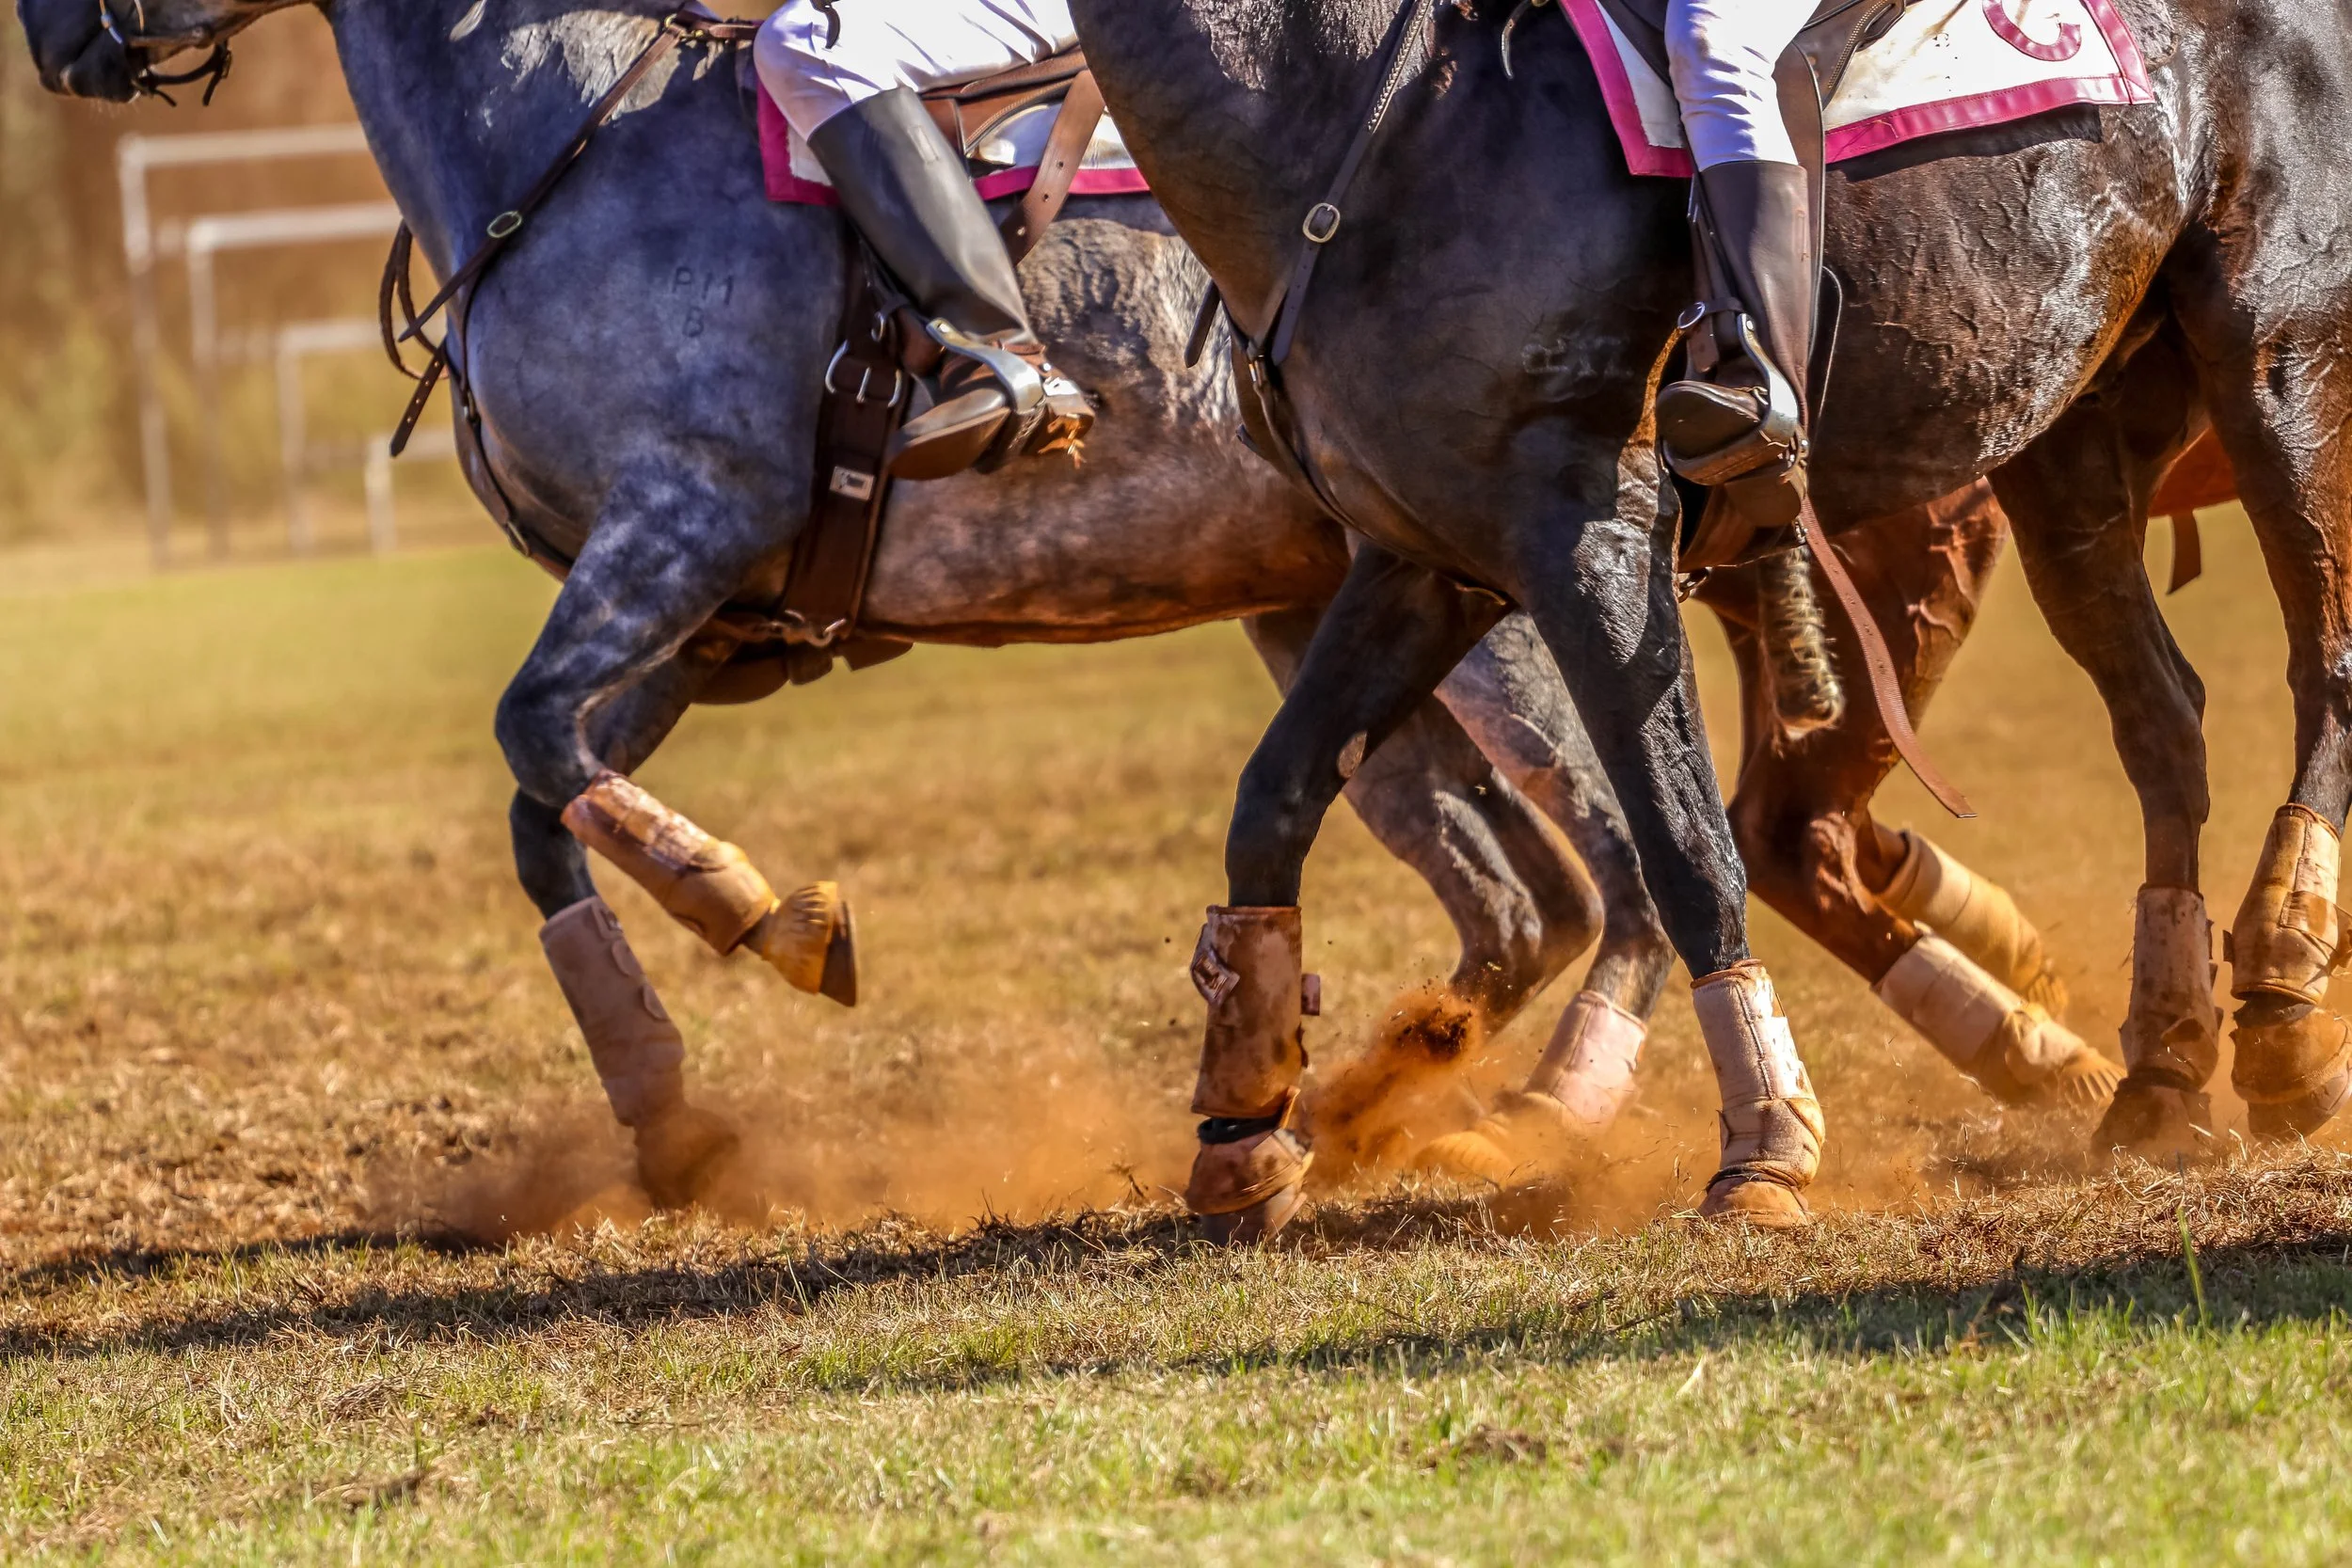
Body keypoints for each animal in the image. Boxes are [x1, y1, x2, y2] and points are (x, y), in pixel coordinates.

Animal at [16, 0, 2120, 1220]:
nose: (62, 41)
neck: (568, 140)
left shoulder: (681, 525)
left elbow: (533, 740)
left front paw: (772, 917)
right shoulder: (695, 612)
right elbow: (542, 801)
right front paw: (669, 1109)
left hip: (1507, 593)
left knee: (1618, 854)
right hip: (1341, 609)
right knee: (1530, 889)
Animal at [1069, 0, 2352, 1212]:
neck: (1364, 119)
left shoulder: (1594, 540)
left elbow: (1684, 847)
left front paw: (1767, 1143)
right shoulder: (1420, 560)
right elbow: (1273, 801)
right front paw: (1242, 1127)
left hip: (2276, 359)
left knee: (2321, 666)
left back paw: (2284, 1004)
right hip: (2066, 433)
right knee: (2160, 720)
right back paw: (2161, 1073)